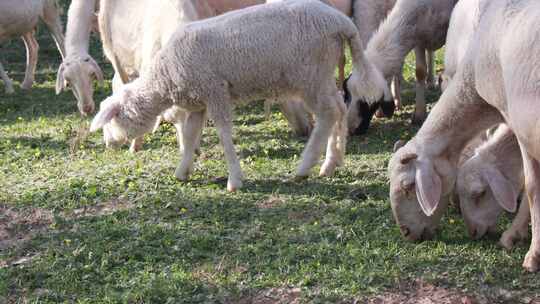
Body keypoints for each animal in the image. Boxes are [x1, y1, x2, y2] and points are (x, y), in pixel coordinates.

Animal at [92, 0, 388, 192]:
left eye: (112, 119)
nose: (110, 144)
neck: (165, 76)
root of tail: (342, 22)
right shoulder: (199, 102)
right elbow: (190, 135)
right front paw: (182, 171)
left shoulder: (215, 91)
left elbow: (223, 134)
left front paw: (234, 180)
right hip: (321, 74)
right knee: (340, 107)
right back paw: (331, 162)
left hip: (309, 75)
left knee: (327, 114)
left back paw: (305, 167)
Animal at [346, 0, 460, 134]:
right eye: (348, 95)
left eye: (367, 104)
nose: (352, 130)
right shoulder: (419, 37)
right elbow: (420, 71)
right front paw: (419, 114)